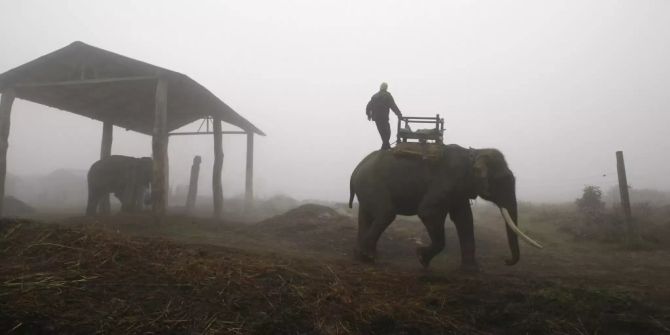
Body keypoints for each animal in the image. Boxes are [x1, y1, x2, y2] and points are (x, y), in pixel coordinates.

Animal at [0, 40, 266, 219]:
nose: (151, 200)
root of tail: (91, 167)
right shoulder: (130, 174)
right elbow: (128, 189)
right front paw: (130, 212)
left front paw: (133, 212)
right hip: (93, 178)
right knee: (96, 191)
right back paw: (94, 215)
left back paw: (95, 215)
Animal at [350, 142, 544, 272]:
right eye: (502, 181)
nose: (505, 260)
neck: (473, 153)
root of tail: (357, 168)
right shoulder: (445, 182)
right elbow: (428, 212)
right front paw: (421, 257)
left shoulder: (459, 191)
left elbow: (465, 219)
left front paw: (471, 270)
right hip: (372, 184)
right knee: (386, 213)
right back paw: (368, 256)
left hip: (366, 188)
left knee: (366, 217)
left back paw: (363, 257)